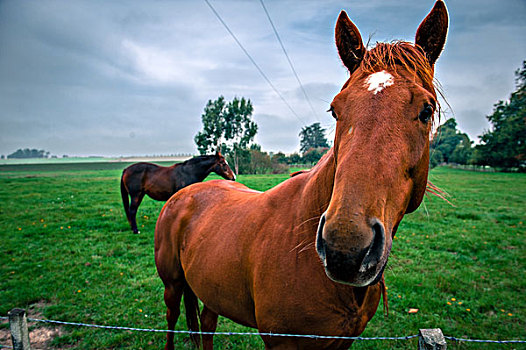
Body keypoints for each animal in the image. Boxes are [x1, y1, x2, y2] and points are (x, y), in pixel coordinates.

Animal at [156, 1, 450, 348]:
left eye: (426, 110)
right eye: (336, 110)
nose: (345, 250)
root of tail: (183, 194)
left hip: (209, 290)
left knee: (206, 324)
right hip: (172, 286)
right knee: (172, 319)